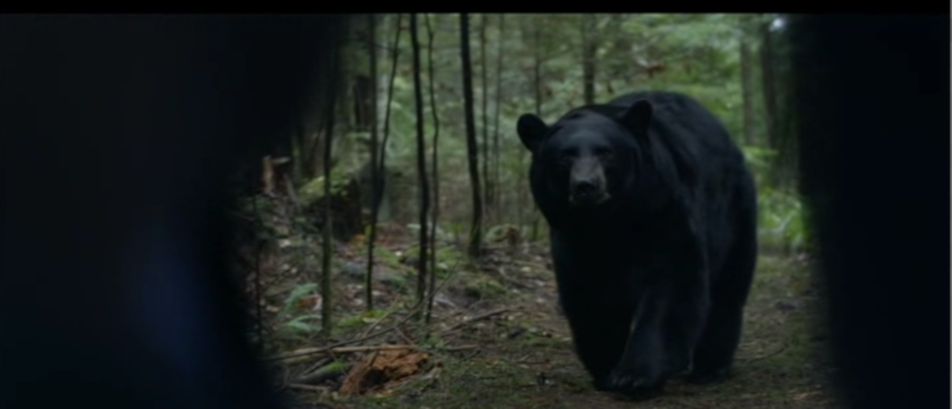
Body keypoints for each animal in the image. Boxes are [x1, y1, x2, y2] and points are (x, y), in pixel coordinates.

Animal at [516, 90, 756, 396]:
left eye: (605, 152)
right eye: (564, 157)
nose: (586, 186)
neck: (613, 221)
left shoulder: (665, 212)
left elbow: (671, 286)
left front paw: (636, 376)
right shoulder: (574, 238)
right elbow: (589, 294)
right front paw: (607, 370)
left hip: (734, 214)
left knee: (728, 290)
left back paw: (710, 368)